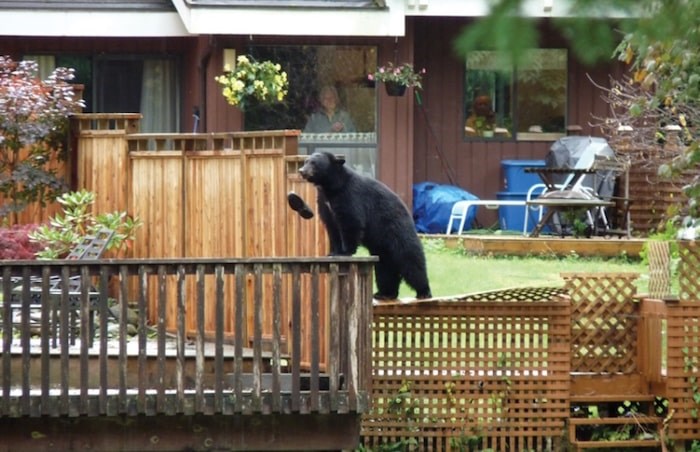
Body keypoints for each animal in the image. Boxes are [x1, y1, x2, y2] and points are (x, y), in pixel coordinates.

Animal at [296, 152, 430, 300]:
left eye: (314, 163)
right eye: (306, 161)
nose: (301, 171)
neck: (331, 187)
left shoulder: (349, 196)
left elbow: (351, 222)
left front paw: (345, 252)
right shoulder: (325, 203)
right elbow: (332, 228)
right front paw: (333, 252)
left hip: (397, 231)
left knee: (411, 260)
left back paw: (423, 291)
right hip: (383, 248)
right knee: (385, 269)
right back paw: (385, 293)